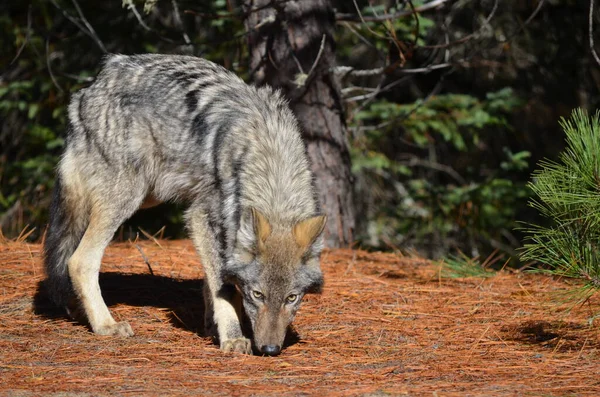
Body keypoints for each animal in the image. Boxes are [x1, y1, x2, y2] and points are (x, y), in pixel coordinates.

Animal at [44, 53, 326, 356]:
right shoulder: (201, 216)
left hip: (146, 195)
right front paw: (233, 338)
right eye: (257, 294)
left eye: (292, 298)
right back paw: (105, 325)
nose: (271, 349)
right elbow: (224, 287)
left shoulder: (213, 227)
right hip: (128, 198)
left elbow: (212, 280)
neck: (269, 160)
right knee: (79, 261)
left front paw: (211, 326)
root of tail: (89, 89)